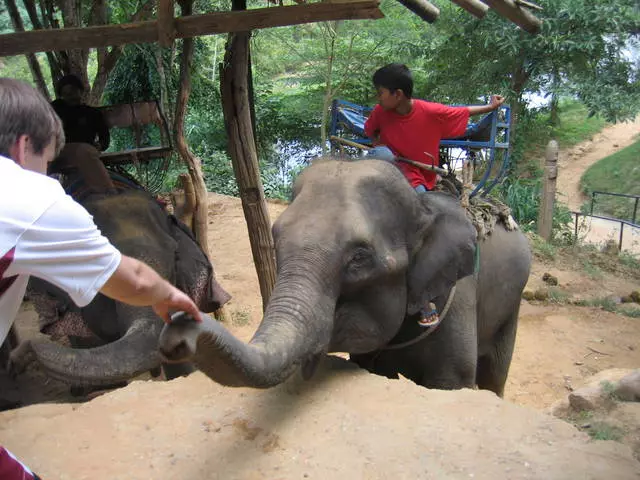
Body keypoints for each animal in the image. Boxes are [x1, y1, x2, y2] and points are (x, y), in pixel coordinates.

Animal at [159, 158, 528, 398]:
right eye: (276, 240)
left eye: (359, 258)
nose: (178, 330)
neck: (422, 205)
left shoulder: (457, 299)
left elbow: (453, 380)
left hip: (512, 305)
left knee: (496, 373)